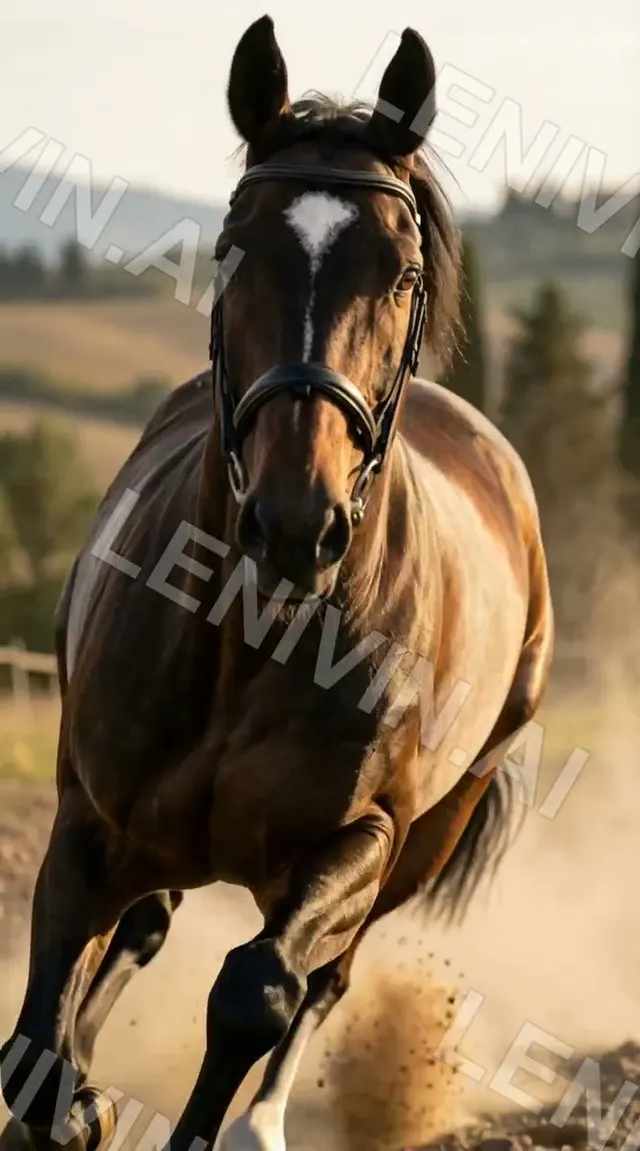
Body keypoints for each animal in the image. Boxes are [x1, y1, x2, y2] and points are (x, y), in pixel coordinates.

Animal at [0, 15, 554, 1151]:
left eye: (403, 272)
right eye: (232, 250)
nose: (297, 523)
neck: (250, 630)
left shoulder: (361, 837)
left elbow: (256, 991)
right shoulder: (88, 821)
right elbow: (38, 1054)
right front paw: (75, 1100)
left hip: (420, 844)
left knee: (320, 980)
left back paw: (261, 1117)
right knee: (147, 928)